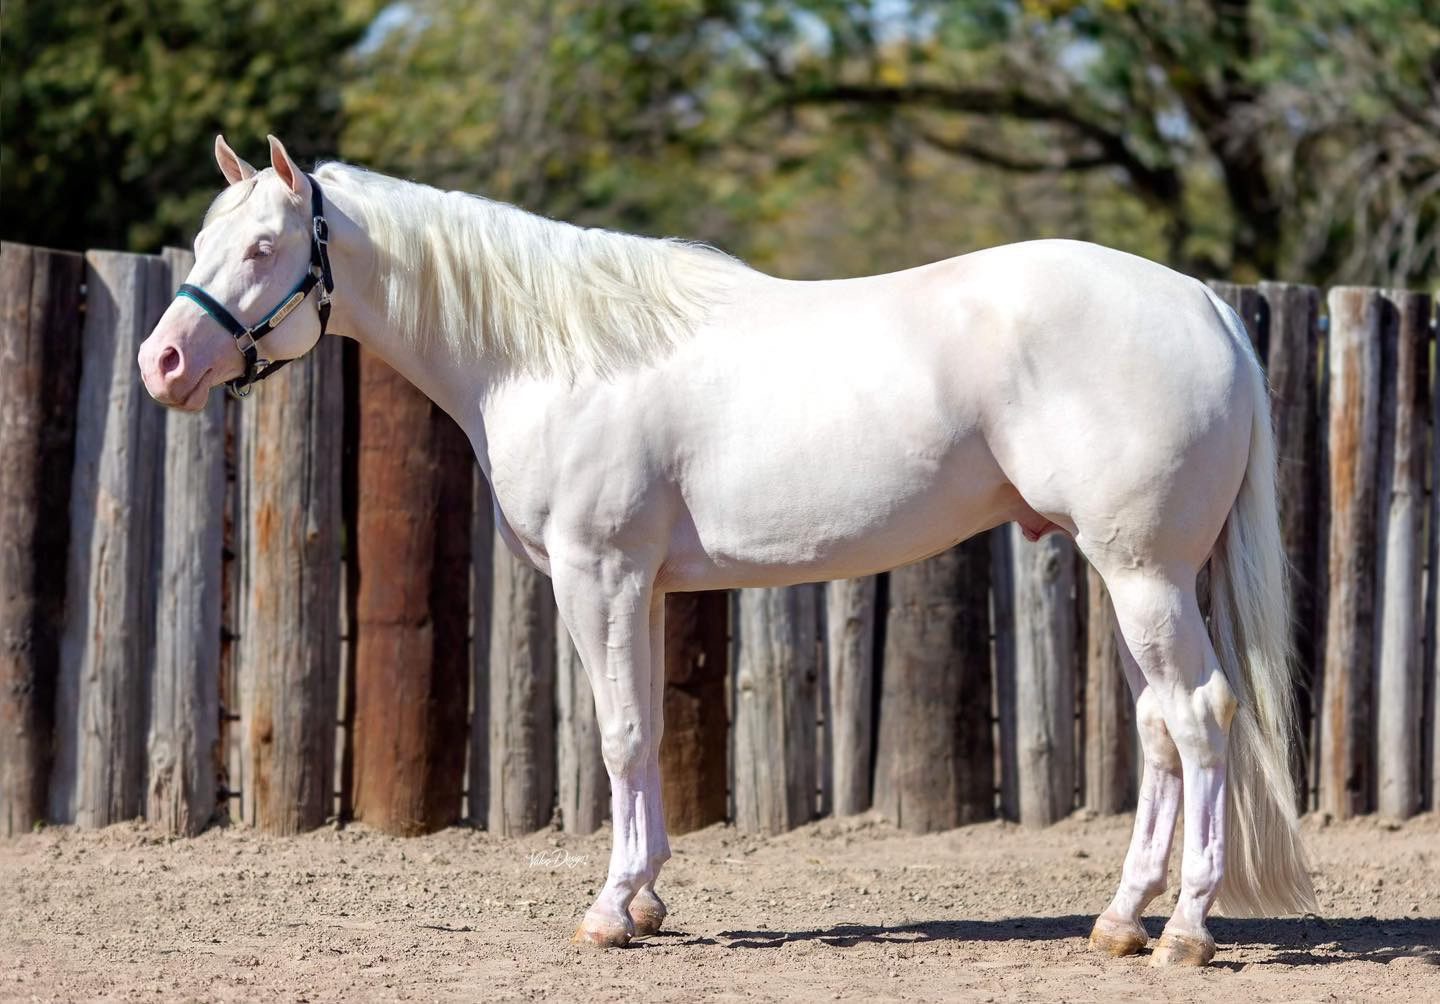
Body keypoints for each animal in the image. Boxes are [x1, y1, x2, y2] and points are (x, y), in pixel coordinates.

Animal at [137, 135, 1319, 962]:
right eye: (203, 243)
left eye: (262, 248)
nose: (163, 363)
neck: (556, 353)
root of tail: (1204, 305)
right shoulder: (645, 587)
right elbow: (651, 731)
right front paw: (651, 896)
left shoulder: (600, 574)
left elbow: (617, 735)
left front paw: (610, 910)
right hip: (1129, 575)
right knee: (1160, 727)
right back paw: (1120, 918)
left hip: (1145, 574)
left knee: (1201, 717)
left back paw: (1185, 932)